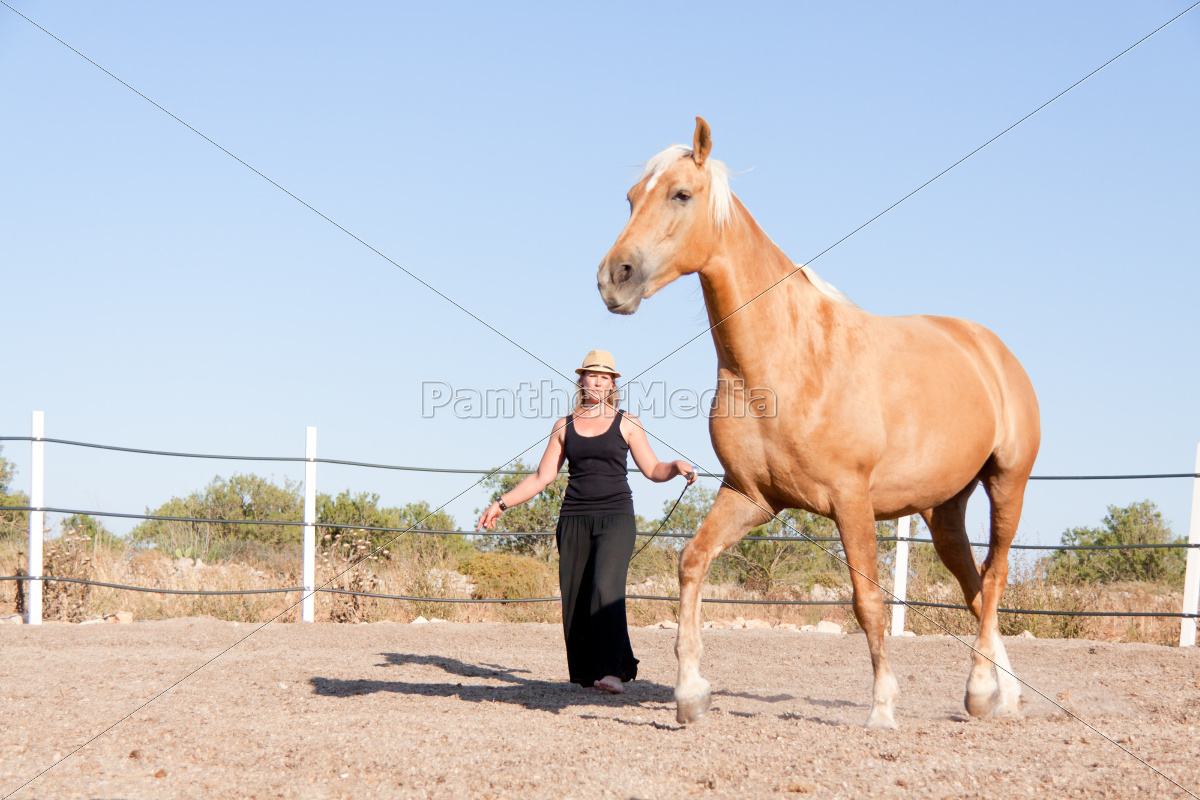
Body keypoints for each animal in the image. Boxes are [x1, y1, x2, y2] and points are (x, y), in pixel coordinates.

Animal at [600, 120, 1041, 734]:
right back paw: (1003, 694)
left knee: (994, 579)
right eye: (630, 198)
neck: (789, 359)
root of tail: (991, 349)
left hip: (1007, 484)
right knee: (976, 588)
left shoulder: (851, 500)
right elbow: (692, 563)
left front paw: (882, 707)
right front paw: (690, 695)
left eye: (681, 195)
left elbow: (867, 602)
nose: (614, 279)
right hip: (943, 509)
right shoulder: (751, 496)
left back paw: (980, 691)